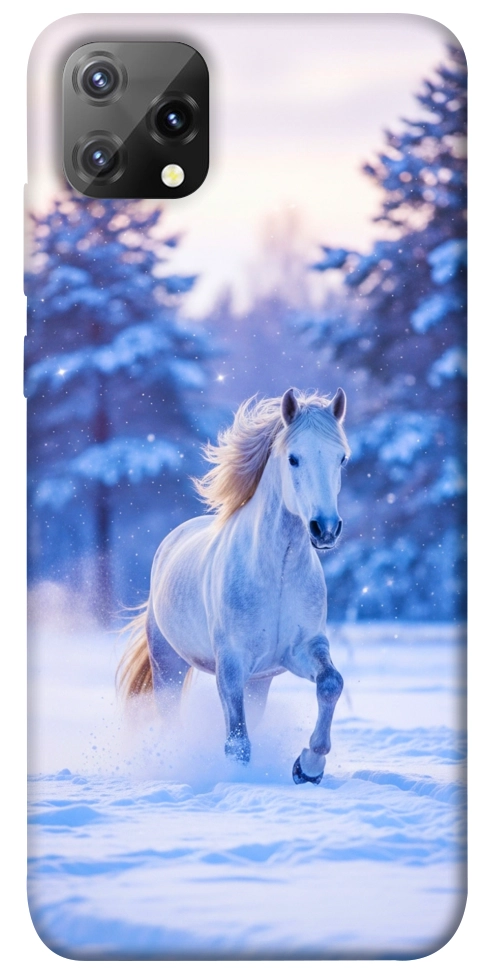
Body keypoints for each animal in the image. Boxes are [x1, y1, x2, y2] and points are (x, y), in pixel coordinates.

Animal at [118, 387, 350, 784]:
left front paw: (308, 767)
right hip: (168, 665)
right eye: (294, 458)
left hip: (259, 682)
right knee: (170, 717)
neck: (277, 573)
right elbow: (237, 742)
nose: (325, 529)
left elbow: (331, 683)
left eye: (341, 459)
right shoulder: (231, 664)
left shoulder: (301, 649)